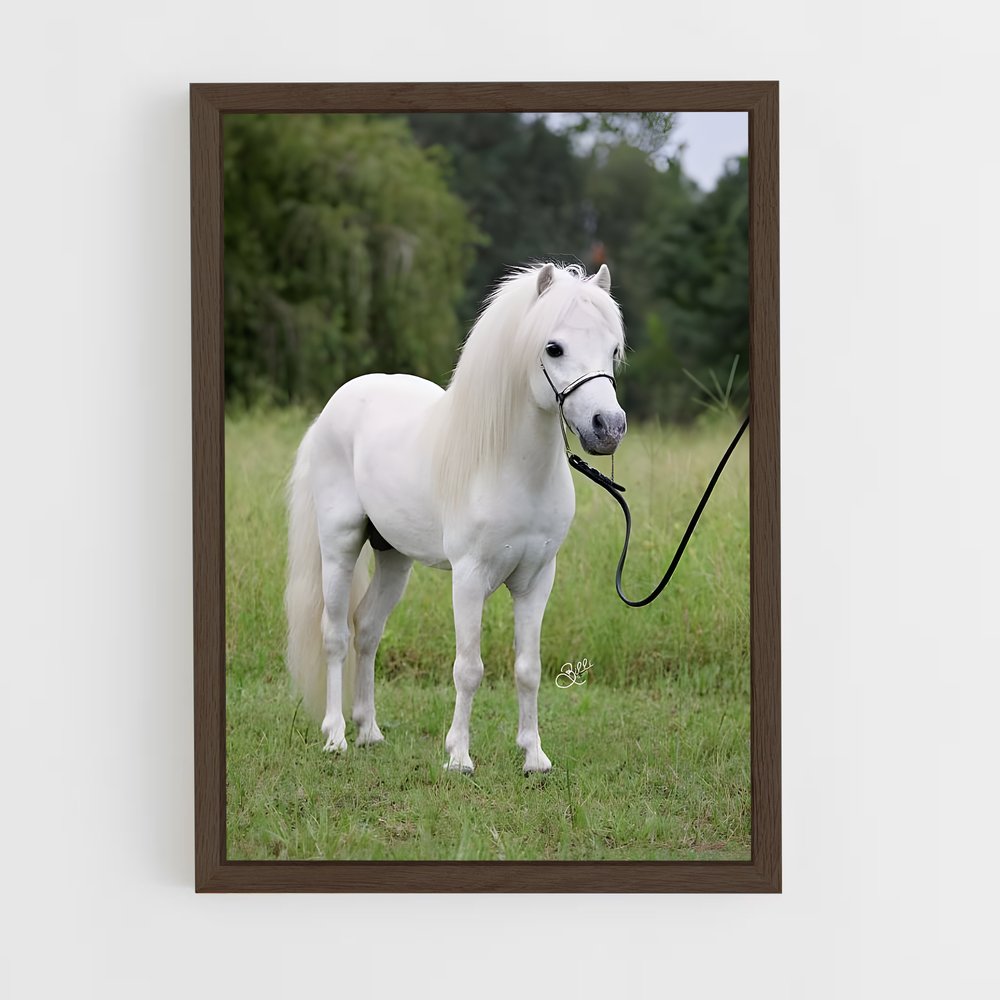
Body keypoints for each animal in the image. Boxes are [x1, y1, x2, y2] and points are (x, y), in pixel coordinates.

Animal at [284, 261, 627, 773]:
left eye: (613, 348)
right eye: (553, 347)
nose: (608, 427)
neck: (508, 467)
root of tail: (335, 406)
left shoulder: (537, 579)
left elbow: (528, 669)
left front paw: (534, 757)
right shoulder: (468, 578)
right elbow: (469, 669)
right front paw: (459, 757)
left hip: (394, 558)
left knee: (367, 629)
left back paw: (369, 731)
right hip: (339, 546)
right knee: (335, 635)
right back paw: (336, 736)